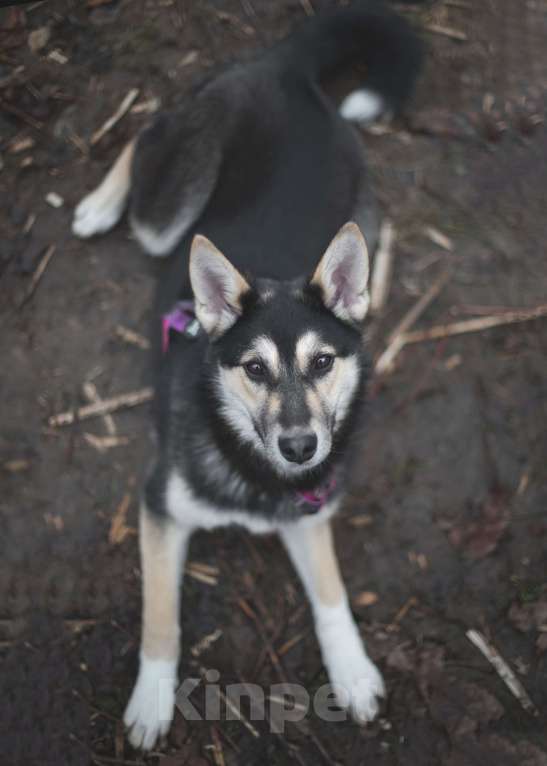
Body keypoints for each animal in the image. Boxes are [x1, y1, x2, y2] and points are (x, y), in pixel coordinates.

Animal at [73, 1, 424, 752]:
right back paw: (97, 205)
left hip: (365, 208)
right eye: (254, 369)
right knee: (145, 133)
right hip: (166, 213)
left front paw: (352, 671)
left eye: (322, 362)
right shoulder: (159, 507)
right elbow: (161, 618)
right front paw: (151, 699)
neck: (254, 468)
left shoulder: (307, 513)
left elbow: (331, 594)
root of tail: (284, 68)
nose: (300, 446)